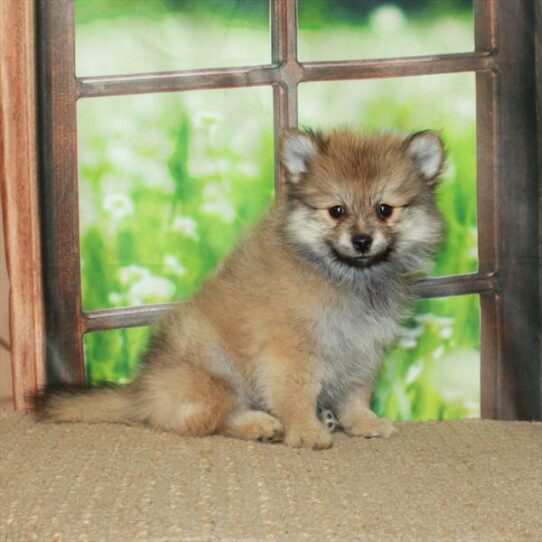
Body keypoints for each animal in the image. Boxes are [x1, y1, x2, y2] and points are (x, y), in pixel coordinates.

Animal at [41, 129, 446, 450]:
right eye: (337, 211)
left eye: (384, 209)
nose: (362, 240)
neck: (345, 277)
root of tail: (141, 391)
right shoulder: (291, 350)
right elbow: (296, 394)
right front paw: (306, 431)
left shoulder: (362, 349)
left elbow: (355, 394)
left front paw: (362, 422)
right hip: (213, 372)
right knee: (205, 419)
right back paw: (259, 424)